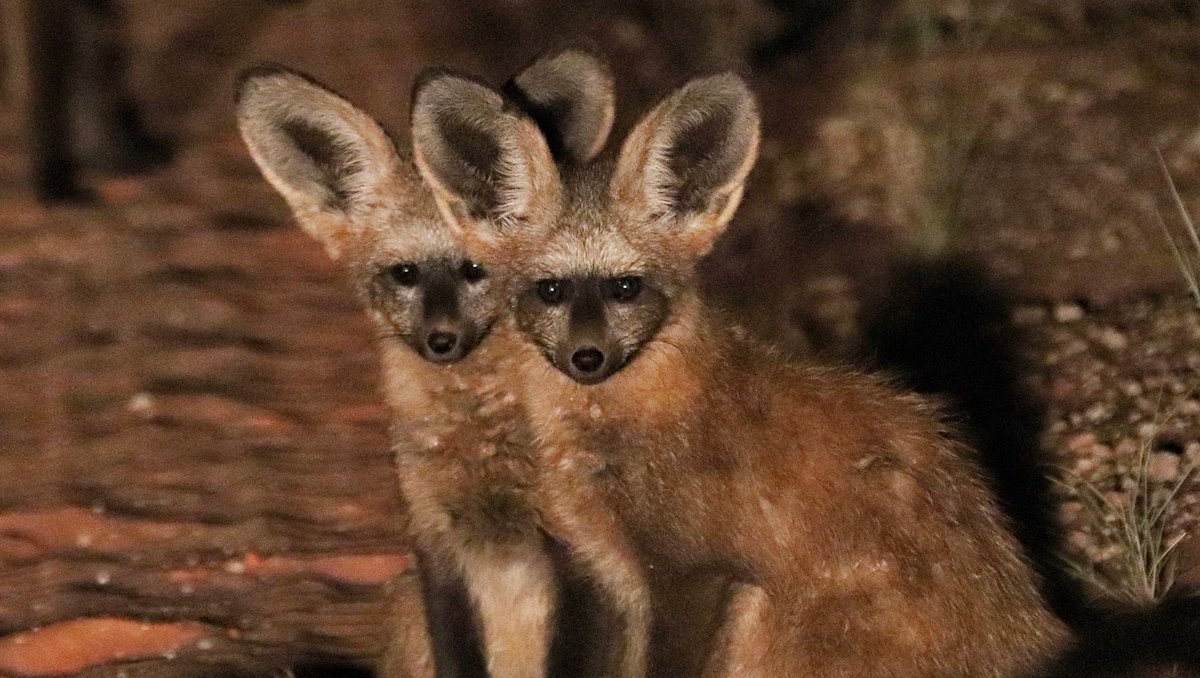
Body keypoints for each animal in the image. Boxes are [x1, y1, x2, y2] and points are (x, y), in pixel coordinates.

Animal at [234, 52, 620, 678]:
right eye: (406, 274)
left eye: (474, 270)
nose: (441, 341)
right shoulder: (434, 540)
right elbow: (456, 656)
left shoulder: (575, 546)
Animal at [410, 71, 1074, 675]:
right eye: (550, 290)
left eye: (626, 287)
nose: (587, 358)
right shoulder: (605, 572)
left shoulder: (693, 574)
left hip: (764, 624)